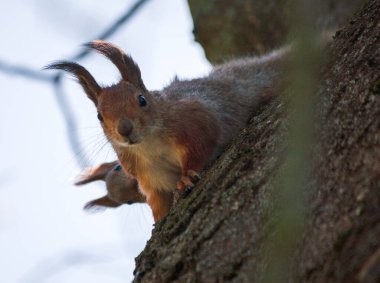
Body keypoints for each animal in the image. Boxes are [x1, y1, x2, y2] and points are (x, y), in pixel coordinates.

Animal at [46, 40, 290, 222]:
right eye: (99, 116)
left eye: (142, 99)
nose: (125, 129)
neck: (148, 146)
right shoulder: (149, 175)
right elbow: (158, 199)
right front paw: (159, 219)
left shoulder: (194, 120)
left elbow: (202, 144)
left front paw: (186, 176)